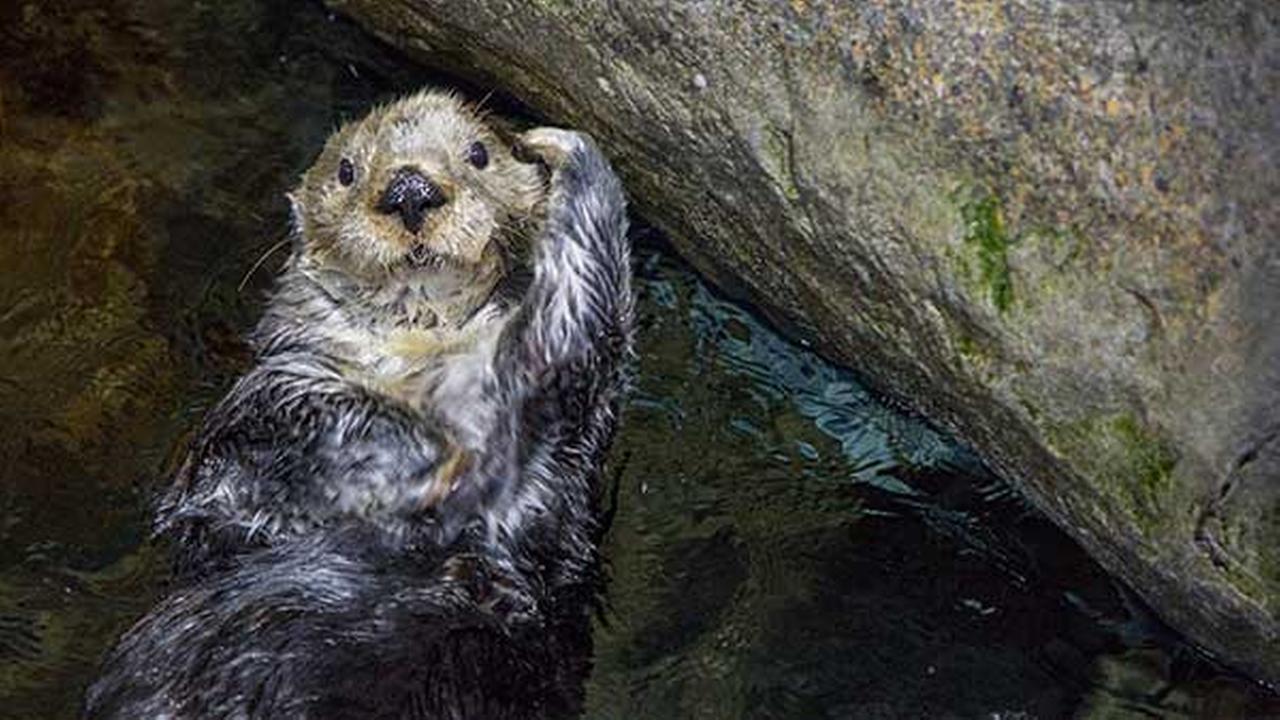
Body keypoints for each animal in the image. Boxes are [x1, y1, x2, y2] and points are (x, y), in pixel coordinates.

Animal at [84, 90, 633, 719]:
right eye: (347, 170)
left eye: (479, 153)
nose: (410, 190)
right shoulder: (250, 422)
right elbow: (285, 408)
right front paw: (427, 452)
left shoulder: (552, 478)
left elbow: (581, 342)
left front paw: (569, 154)